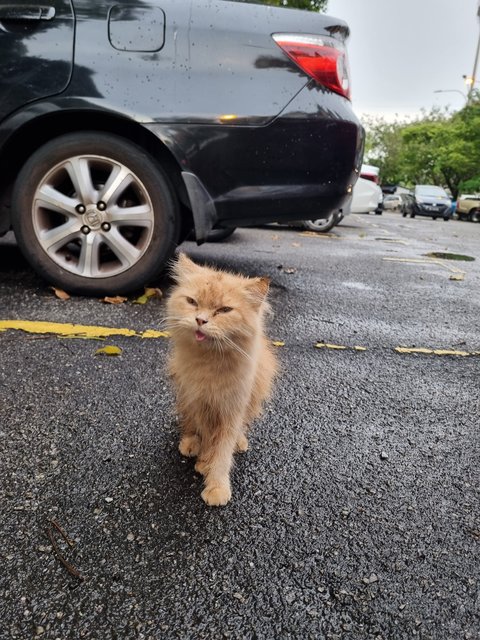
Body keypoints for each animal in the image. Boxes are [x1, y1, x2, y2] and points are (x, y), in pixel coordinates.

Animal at [165, 252, 278, 508]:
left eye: (224, 310)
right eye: (192, 302)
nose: (200, 320)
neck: (210, 363)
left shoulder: (231, 411)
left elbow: (223, 452)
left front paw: (216, 485)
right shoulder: (199, 403)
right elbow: (208, 439)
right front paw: (203, 461)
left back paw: (240, 442)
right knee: (190, 426)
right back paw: (190, 444)